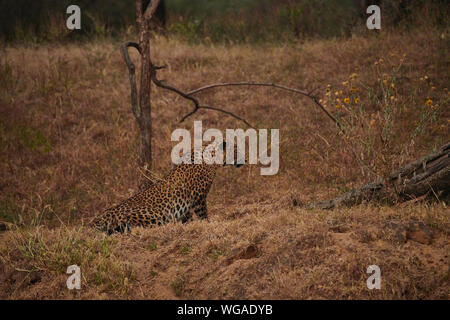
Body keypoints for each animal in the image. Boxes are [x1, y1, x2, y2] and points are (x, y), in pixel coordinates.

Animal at [90, 141, 243, 234]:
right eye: (237, 151)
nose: (245, 159)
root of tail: (99, 218)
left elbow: (187, 216)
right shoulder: (199, 197)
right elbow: (203, 214)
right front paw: (208, 223)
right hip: (153, 215)